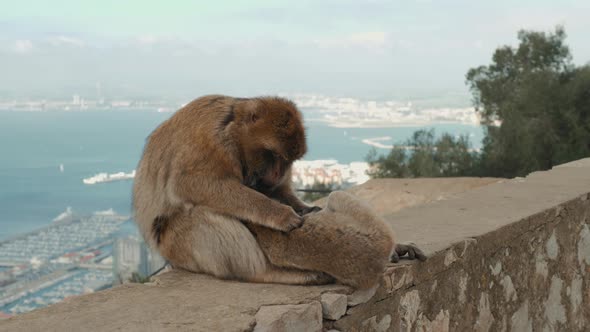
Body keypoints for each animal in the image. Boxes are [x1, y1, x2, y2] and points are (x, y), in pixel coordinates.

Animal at [134, 94, 332, 284]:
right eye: (275, 155)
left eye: (286, 161)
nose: (278, 173)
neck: (231, 128)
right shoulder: (212, 142)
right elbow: (188, 183)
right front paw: (281, 214)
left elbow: (278, 190)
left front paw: (305, 208)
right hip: (176, 248)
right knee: (202, 214)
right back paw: (269, 272)